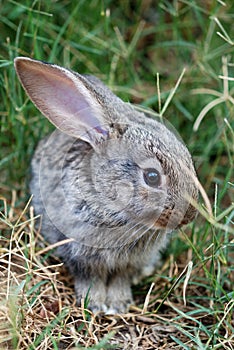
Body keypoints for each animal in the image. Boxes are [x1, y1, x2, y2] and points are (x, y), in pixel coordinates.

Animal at [14, 57, 197, 314]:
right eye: (152, 177)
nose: (189, 215)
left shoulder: (129, 262)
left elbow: (122, 278)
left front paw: (120, 304)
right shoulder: (81, 253)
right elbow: (90, 278)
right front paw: (95, 304)